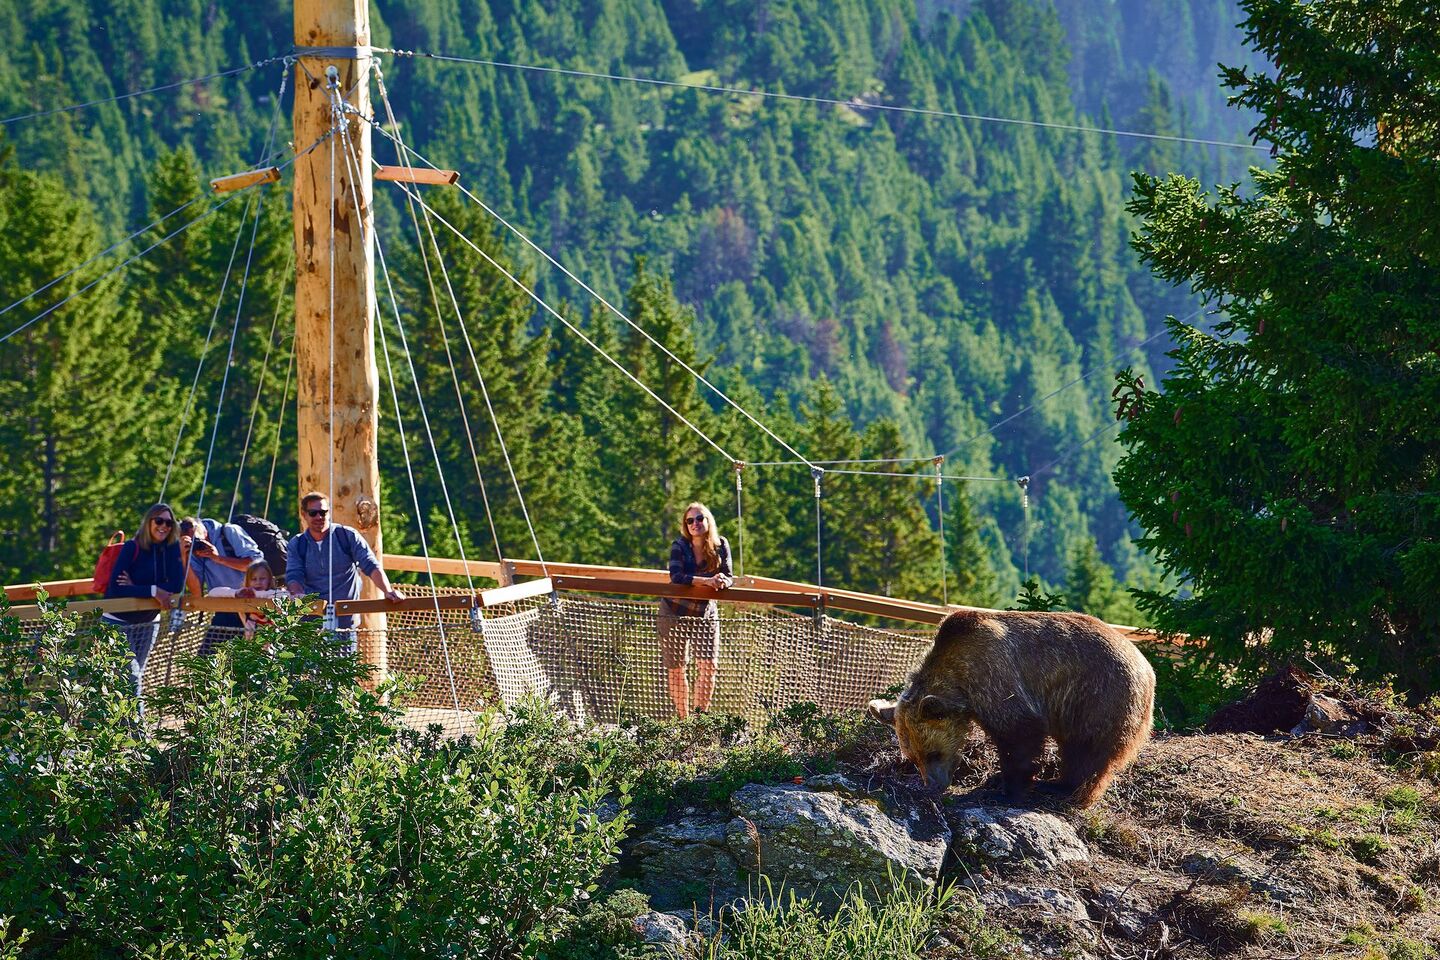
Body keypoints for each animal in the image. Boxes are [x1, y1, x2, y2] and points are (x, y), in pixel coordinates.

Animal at [868, 608, 1155, 807]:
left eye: (933, 753)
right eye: (913, 757)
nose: (933, 785)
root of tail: (1147, 668)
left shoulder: (994, 676)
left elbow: (1019, 733)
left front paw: (1008, 790)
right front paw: (997, 780)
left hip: (1098, 695)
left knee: (1086, 749)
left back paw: (1063, 788)